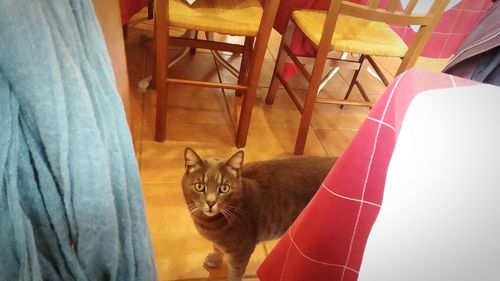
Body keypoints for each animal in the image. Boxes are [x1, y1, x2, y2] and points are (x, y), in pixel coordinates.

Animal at [180, 148, 336, 278]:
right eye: (199, 186)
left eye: (224, 188)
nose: (211, 202)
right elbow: (217, 247)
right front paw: (215, 259)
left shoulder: (242, 252)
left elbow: (235, 274)